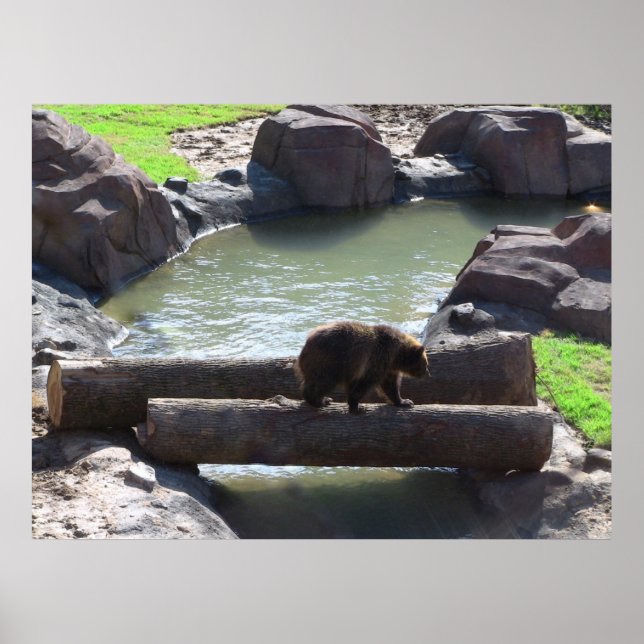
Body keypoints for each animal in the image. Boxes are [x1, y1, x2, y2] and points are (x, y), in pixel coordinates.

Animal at [294, 321, 429, 414]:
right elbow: (366, 383)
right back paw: (320, 400)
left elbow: (390, 385)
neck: (396, 355)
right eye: (425, 363)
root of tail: (306, 344)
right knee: (322, 382)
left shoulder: (385, 367)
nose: (427, 373)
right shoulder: (377, 359)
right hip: (330, 362)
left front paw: (404, 401)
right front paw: (357, 407)